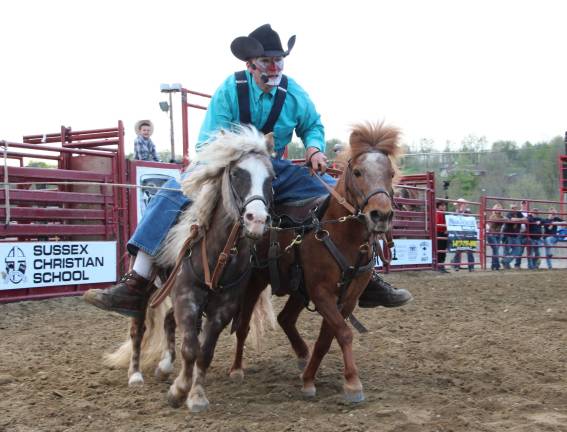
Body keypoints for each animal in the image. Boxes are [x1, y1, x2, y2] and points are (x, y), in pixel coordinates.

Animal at [229, 120, 402, 402]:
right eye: (357, 172)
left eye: (391, 172)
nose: (381, 215)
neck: (340, 234)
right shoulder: (321, 293)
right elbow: (344, 332)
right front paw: (353, 384)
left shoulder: (347, 298)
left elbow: (326, 338)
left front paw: (309, 379)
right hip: (255, 282)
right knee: (243, 325)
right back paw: (236, 369)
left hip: (298, 290)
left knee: (285, 319)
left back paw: (303, 356)